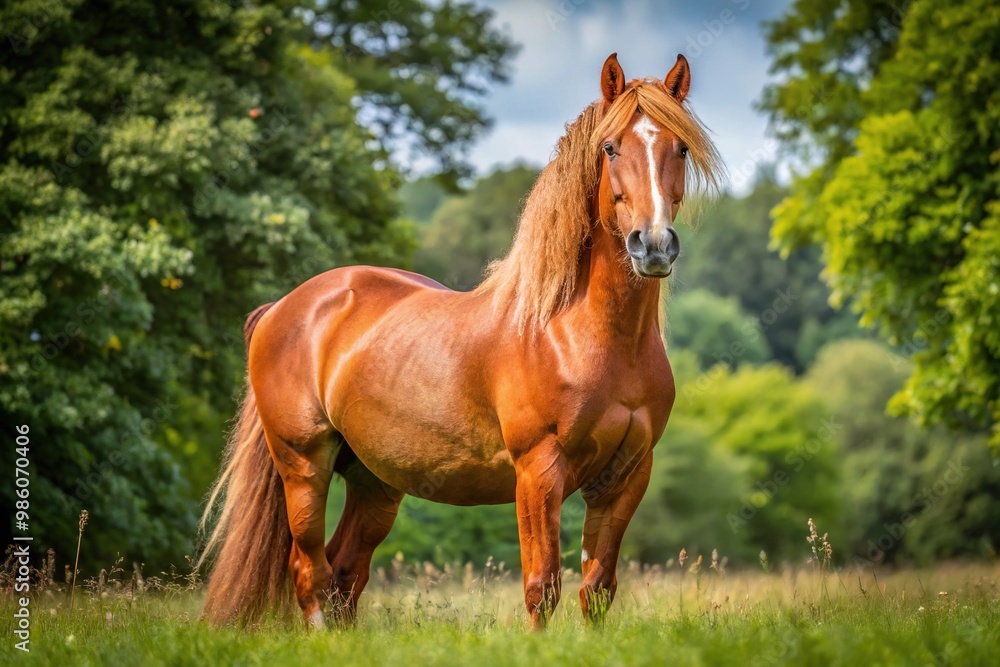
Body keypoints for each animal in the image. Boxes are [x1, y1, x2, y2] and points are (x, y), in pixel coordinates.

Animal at [199, 52, 723, 629]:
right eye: (610, 147)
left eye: (679, 147)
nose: (652, 245)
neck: (580, 335)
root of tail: (283, 308)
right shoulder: (538, 472)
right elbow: (542, 586)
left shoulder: (626, 475)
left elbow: (597, 589)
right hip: (303, 464)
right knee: (310, 571)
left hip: (375, 479)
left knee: (344, 573)